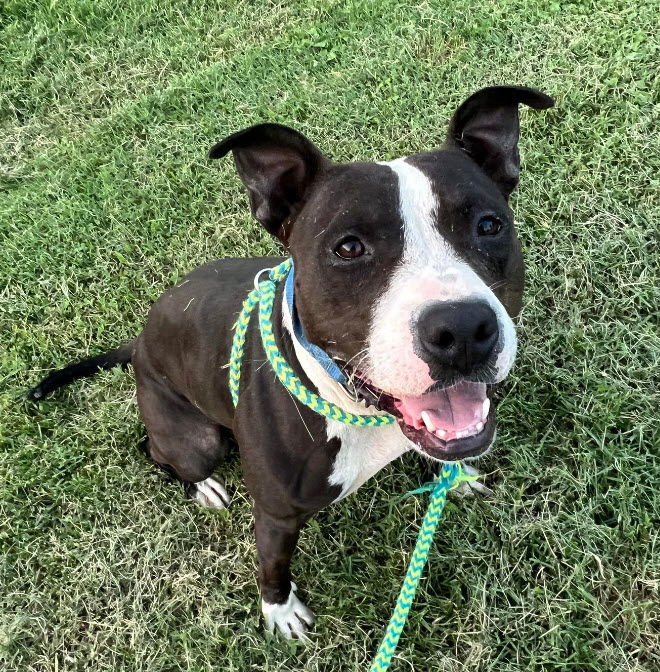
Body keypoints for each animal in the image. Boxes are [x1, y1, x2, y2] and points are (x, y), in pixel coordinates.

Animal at [29, 85, 556, 640]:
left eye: (489, 224)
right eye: (349, 247)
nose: (461, 330)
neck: (351, 406)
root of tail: (139, 342)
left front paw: (455, 476)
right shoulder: (276, 515)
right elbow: (273, 565)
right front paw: (279, 610)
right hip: (194, 439)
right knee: (162, 454)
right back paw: (205, 486)